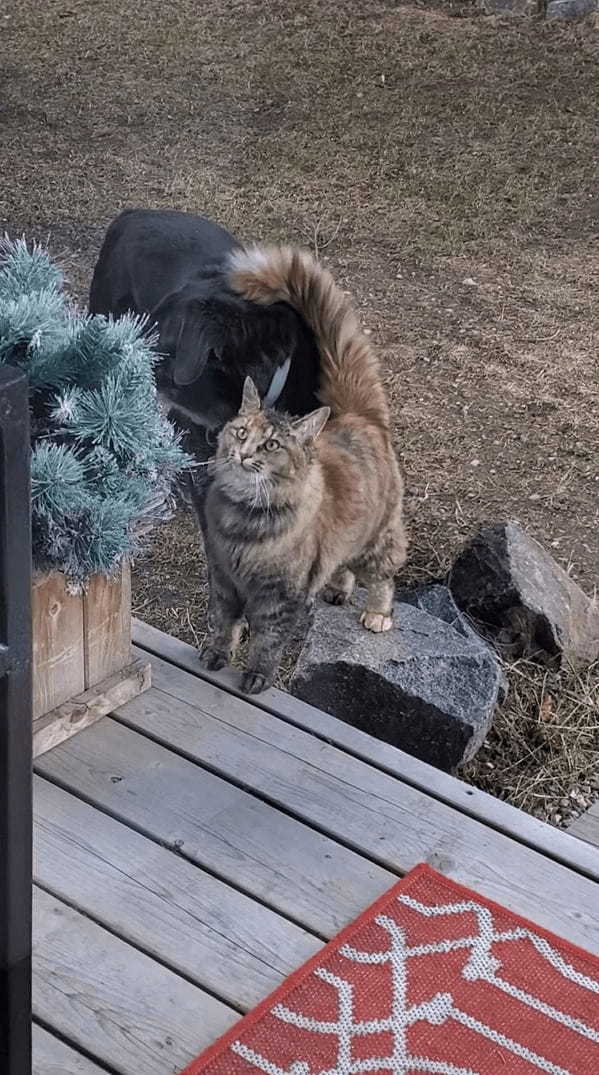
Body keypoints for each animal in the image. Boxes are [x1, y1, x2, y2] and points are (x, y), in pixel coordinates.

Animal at [201, 244, 406, 692]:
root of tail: (357, 415)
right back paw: (337, 590)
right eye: (241, 432)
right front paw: (215, 656)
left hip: (378, 537)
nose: (243, 455)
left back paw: (377, 613)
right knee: (342, 566)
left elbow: (267, 642)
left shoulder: (280, 597)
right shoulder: (223, 579)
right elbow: (224, 625)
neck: (244, 525)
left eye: (271, 445)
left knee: (383, 575)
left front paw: (256, 678)